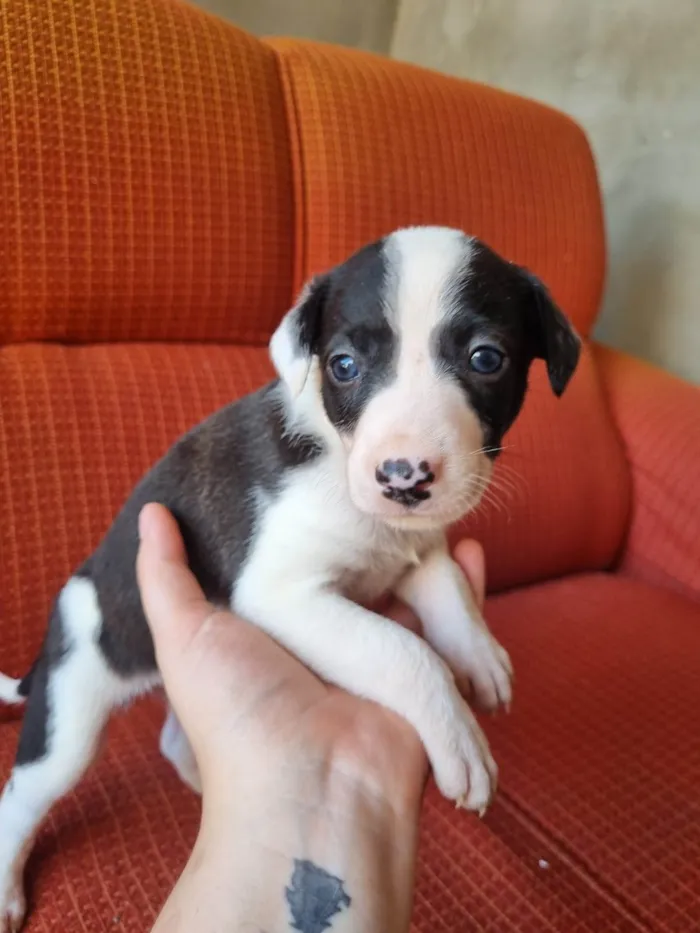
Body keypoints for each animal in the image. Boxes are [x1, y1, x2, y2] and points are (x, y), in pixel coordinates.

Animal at [0, 228, 580, 932]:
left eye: (486, 358)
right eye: (344, 365)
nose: (404, 476)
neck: (340, 462)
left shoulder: (412, 548)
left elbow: (446, 584)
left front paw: (479, 654)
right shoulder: (281, 594)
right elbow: (403, 650)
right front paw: (458, 735)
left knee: (170, 735)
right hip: (71, 714)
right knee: (24, 796)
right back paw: (6, 888)